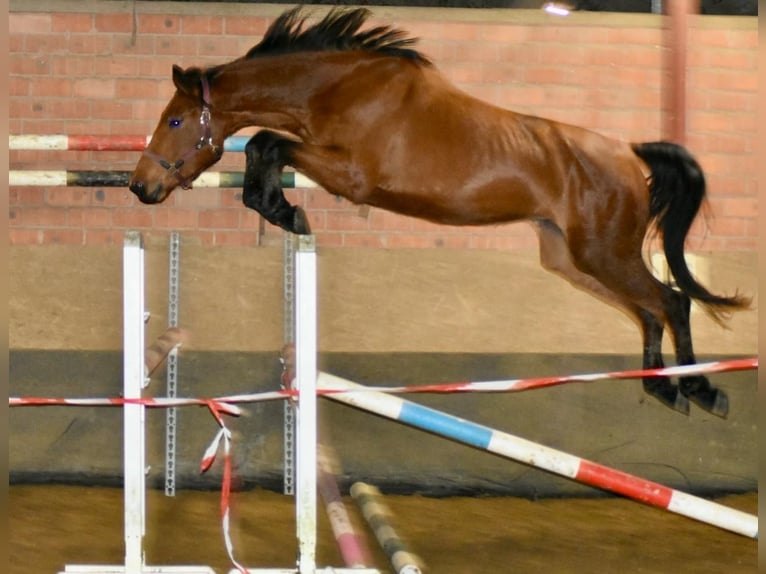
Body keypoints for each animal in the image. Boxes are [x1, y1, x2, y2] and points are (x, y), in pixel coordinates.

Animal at [132, 4, 752, 418]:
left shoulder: (352, 175)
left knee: (670, 301)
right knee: (649, 310)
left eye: (175, 120)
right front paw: (278, 208)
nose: (141, 186)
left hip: (604, 253)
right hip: (574, 260)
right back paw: (661, 386)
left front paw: (283, 211)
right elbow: (266, 147)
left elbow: (266, 142)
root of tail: (628, 152)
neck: (338, 85)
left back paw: (700, 389)